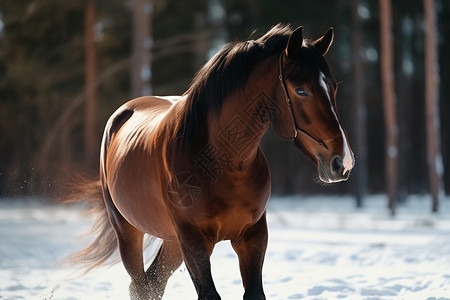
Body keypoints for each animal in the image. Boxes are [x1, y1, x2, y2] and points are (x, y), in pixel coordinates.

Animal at [67, 24, 356, 300]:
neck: (221, 162)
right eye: (301, 90)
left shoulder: (252, 238)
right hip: (128, 231)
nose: (343, 161)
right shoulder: (195, 242)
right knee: (140, 285)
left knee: (153, 283)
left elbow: (255, 293)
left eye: (334, 88)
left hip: (172, 242)